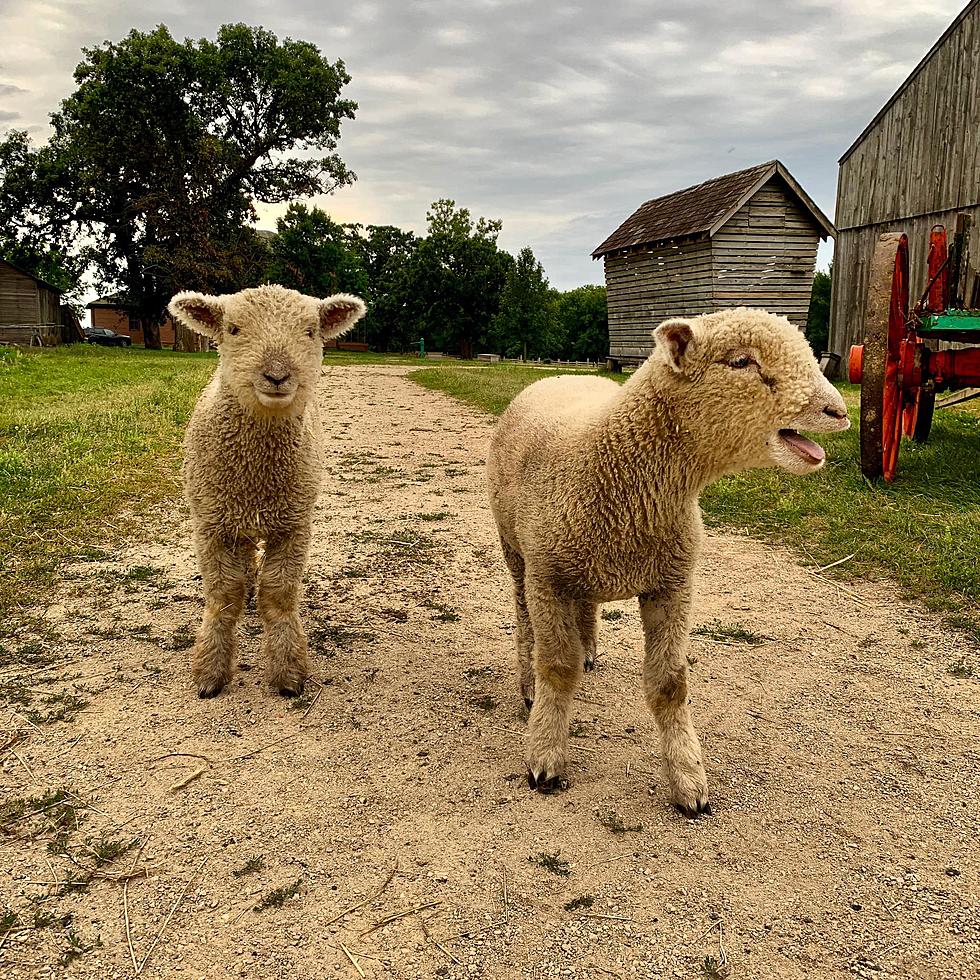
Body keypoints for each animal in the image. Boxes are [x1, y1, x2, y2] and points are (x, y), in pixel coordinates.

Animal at [170, 284, 366, 696]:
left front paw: (288, 672)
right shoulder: (210, 525)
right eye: (233, 329)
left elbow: (278, 594)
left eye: (311, 332)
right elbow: (223, 596)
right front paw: (210, 673)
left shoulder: (294, 526)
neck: (256, 475)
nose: (277, 375)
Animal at [490, 310, 848, 816]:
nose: (839, 411)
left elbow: (670, 685)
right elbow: (557, 669)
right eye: (741, 361)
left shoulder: (673, 583)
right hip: (518, 552)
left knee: (587, 604)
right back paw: (527, 686)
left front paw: (688, 780)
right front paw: (544, 759)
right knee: (523, 618)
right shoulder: (548, 577)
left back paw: (589, 648)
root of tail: (559, 376)